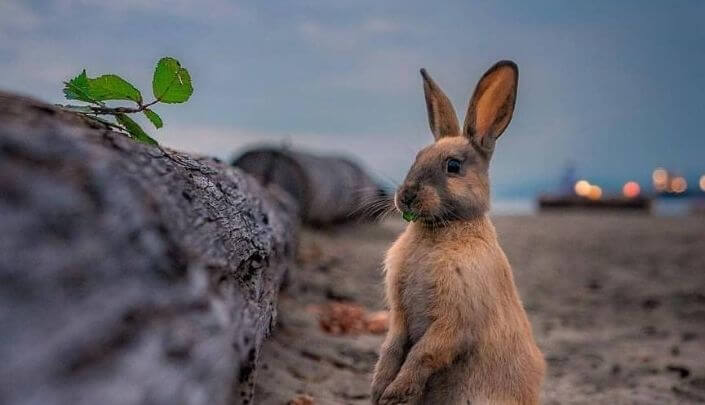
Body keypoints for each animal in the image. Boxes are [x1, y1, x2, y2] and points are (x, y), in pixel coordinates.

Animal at [372, 60, 548, 404]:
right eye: (417, 158)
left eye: (453, 166)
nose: (406, 195)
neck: (443, 227)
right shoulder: (399, 316)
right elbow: (393, 346)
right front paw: (378, 387)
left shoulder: (453, 322)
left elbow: (423, 354)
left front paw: (395, 393)